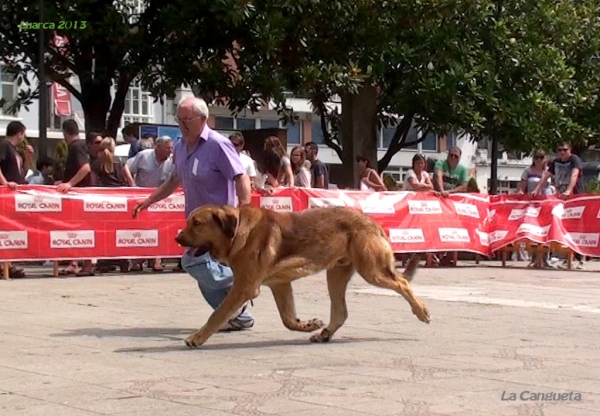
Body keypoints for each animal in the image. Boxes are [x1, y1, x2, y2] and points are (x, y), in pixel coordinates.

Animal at [175, 205, 432, 348]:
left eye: (196, 223)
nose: (177, 238)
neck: (237, 231)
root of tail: (372, 222)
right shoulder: (280, 285)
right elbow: (288, 319)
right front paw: (308, 325)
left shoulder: (244, 287)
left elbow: (217, 314)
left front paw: (197, 338)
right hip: (336, 274)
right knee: (341, 311)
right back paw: (325, 333)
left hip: (372, 271)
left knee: (402, 283)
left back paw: (421, 311)